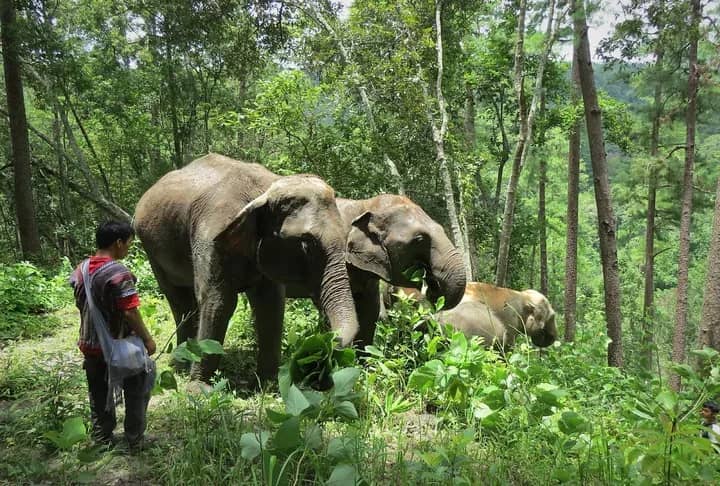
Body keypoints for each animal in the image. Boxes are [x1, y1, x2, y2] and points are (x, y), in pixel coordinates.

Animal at [134, 153, 360, 381]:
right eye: (306, 244)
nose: (325, 341)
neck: (266, 190)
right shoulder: (209, 235)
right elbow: (219, 300)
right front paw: (198, 387)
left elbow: (270, 302)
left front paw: (268, 382)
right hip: (149, 246)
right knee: (179, 299)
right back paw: (181, 365)